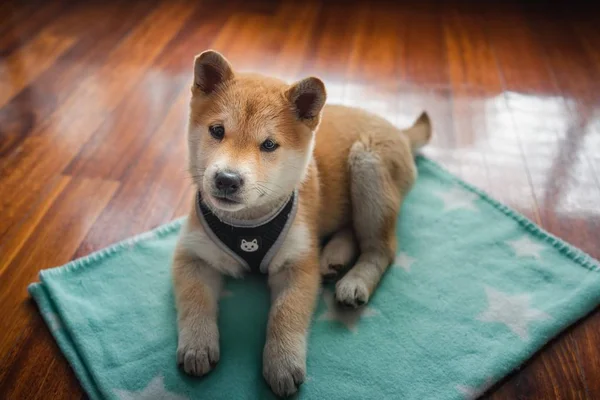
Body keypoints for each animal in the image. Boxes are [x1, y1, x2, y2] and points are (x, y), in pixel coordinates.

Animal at [170, 50, 432, 396]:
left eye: (269, 145)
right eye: (217, 130)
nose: (227, 179)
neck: (247, 225)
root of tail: (398, 130)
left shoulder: (297, 263)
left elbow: (286, 313)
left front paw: (282, 362)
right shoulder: (193, 254)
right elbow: (194, 300)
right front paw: (197, 344)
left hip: (367, 164)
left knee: (382, 247)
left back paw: (355, 280)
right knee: (351, 229)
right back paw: (333, 257)